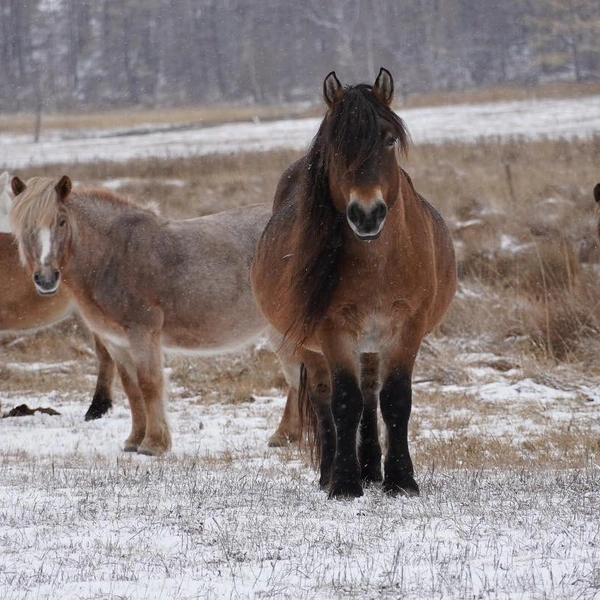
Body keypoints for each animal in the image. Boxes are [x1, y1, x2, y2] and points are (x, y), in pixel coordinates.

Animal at [9, 176, 300, 458]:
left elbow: (149, 384)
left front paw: (154, 444)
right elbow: (131, 388)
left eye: (61, 221)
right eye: (25, 226)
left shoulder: (143, 333)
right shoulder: (116, 343)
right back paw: (285, 436)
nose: (46, 278)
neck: (114, 254)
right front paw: (134, 440)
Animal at [252, 68, 454, 500]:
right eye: (335, 146)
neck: (378, 262)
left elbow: (395, 401)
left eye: (389, 139)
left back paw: (372, 469)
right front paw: (344, 482)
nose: (366, 214)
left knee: (372, 396)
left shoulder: (408, 327)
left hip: (372, 345)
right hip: (312, 347)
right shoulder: (333, 330)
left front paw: (400, 479)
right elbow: (345, 402)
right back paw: (331, 472)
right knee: (325, 401)